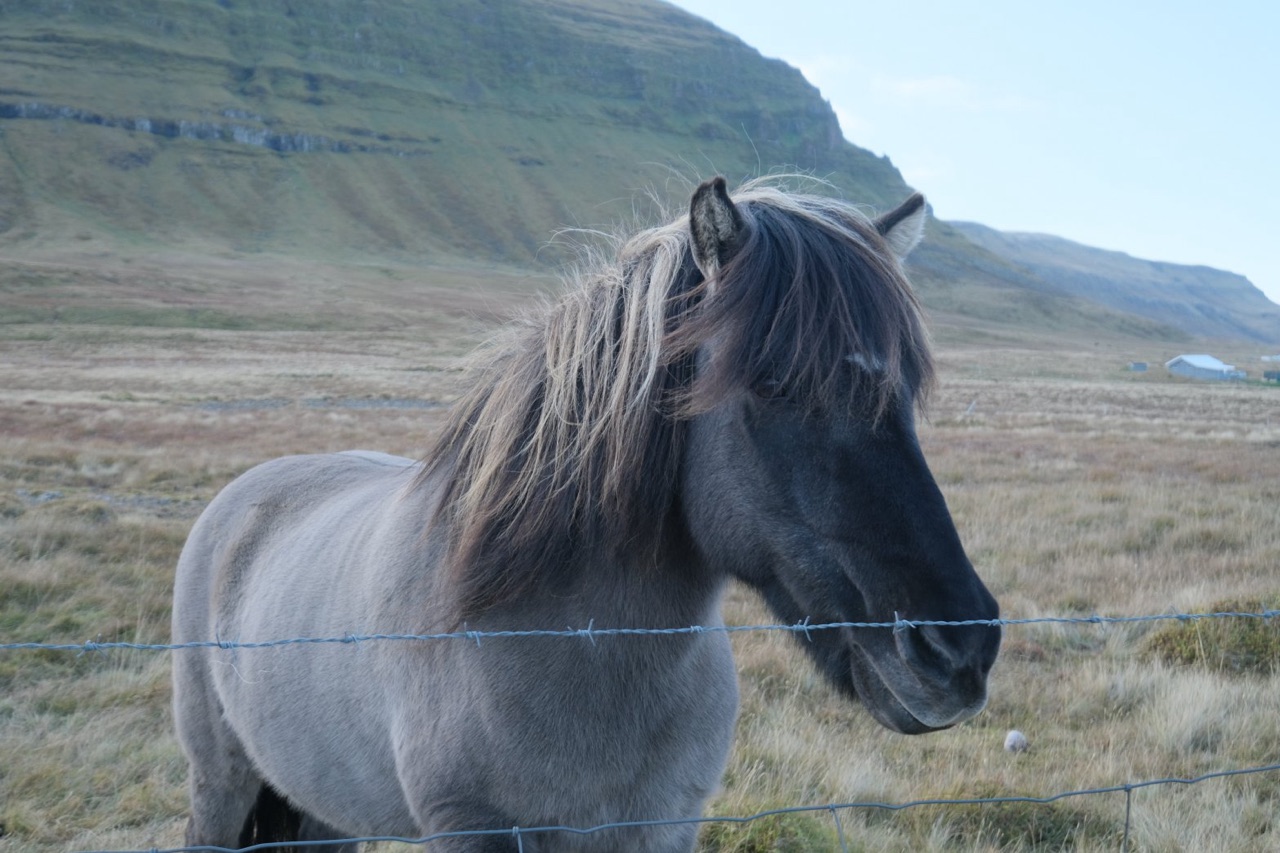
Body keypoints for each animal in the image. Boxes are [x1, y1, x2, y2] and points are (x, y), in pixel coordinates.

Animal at [171, 177, 1000, 852]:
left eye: (907, 390)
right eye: (771, 382)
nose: (958, 649)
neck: (580, 648)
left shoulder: (661, 825)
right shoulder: (471, 827)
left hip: (324, 808)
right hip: (222, 785)